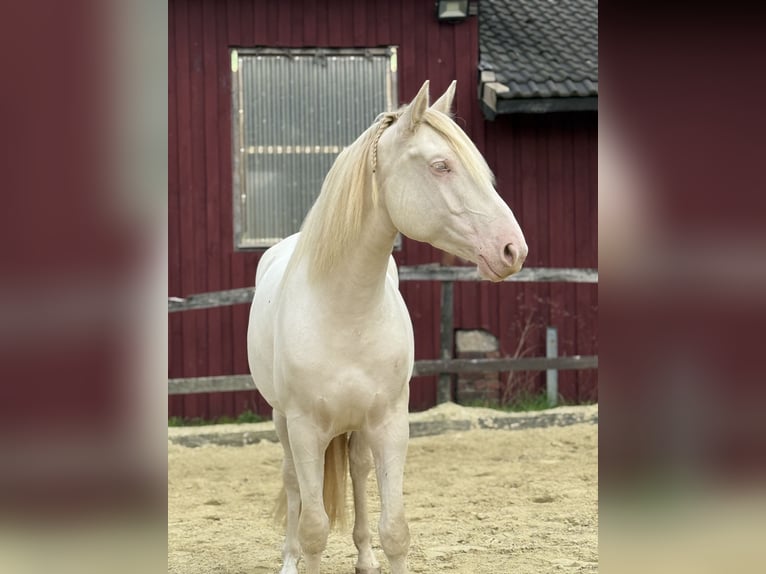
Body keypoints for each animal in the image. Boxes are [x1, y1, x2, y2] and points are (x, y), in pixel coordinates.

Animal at [247, 80, 527, 574]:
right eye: (441, 165)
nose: (513, 249)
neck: (344, 311)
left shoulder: (391, 423)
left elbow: (395, 529)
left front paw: (377, 552)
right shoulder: (304, 429)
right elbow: (315, 529)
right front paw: (303, 554)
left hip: (359, 429)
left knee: (358, 472)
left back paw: (364, 557)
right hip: (283, 422)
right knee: (293, 483)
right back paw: (288, 560)